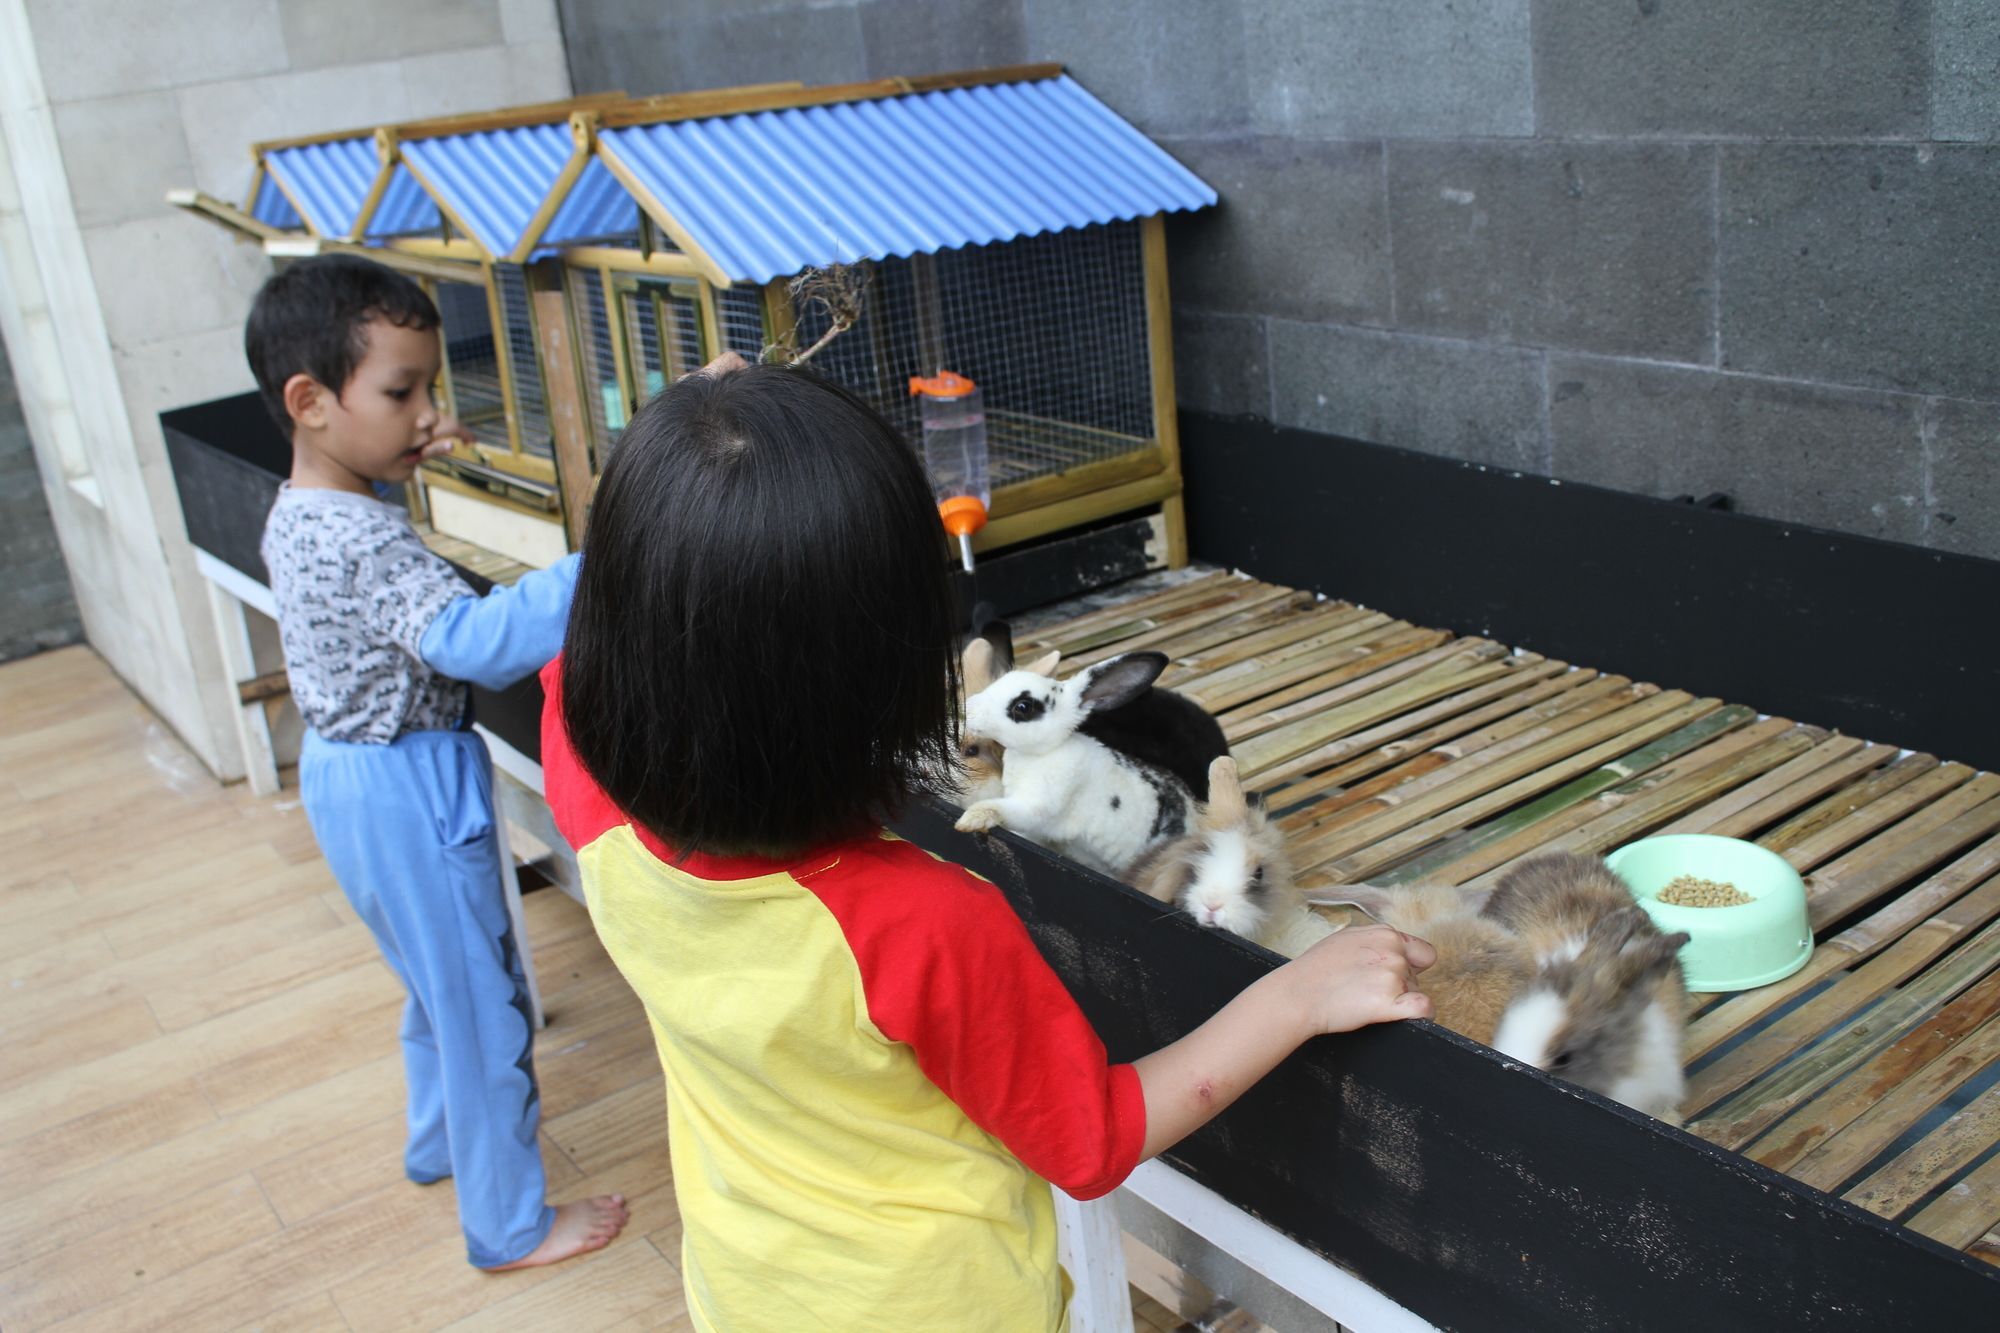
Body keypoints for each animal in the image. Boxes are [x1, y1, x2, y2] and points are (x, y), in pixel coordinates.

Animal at [960, 648, 1192, 876]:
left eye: (1023, 706)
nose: (966, 711)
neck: (1044, 752)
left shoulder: (1036, 806)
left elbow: (1004, 810)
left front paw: (969, 820)